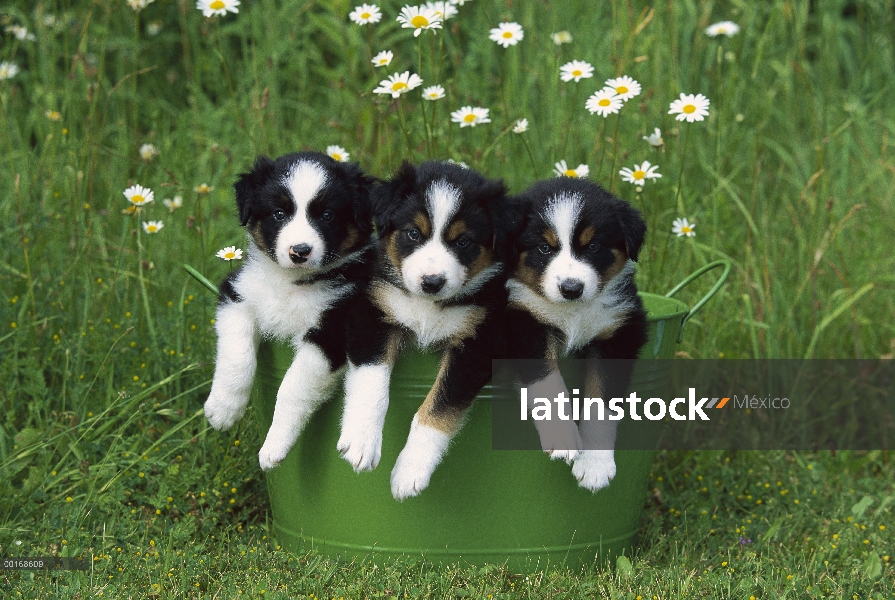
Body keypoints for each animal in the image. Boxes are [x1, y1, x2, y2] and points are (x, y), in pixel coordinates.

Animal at [205, 150, 376, 468]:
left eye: (327, 215)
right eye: (279, 214)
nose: (300, 251)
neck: (293, 284)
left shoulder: (331, 334)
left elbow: (291, 389)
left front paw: (274, 447)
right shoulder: (238, 294)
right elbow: (237, 356)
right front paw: (223, 409)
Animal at [336, 161, 512, 502]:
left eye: (463, 241)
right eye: (413, 233)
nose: (432, 282)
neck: (428, 306)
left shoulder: (477, 342)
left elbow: (438, 407)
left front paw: (409, 472)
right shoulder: (373, 310)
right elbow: (371, 380)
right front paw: (362, 442)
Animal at [508, 177, 648, 492]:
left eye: (593, 246)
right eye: (544, 248)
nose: (571, 288)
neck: (573, 311)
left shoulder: (617, 332)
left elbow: (602, 398)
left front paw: (595, 466)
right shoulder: (524, 323)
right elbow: (548, 383)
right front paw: (562, 437)